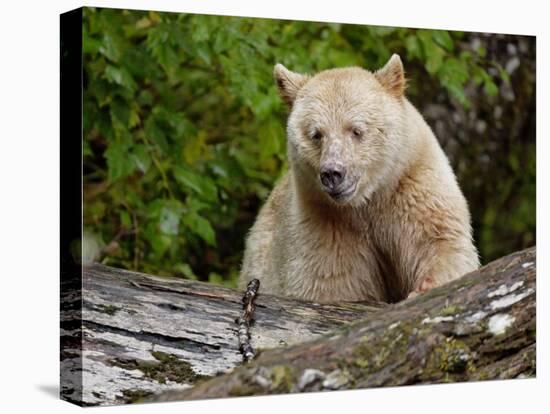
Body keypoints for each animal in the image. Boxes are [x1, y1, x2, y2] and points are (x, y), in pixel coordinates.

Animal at [239, 53, 480, 302]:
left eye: (356, 130)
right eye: (316, 134)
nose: (332, 173)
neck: (367, 201)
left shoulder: (413, 187)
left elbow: (441, 242)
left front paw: (424, 288)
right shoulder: (324, 223)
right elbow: (330, 280)